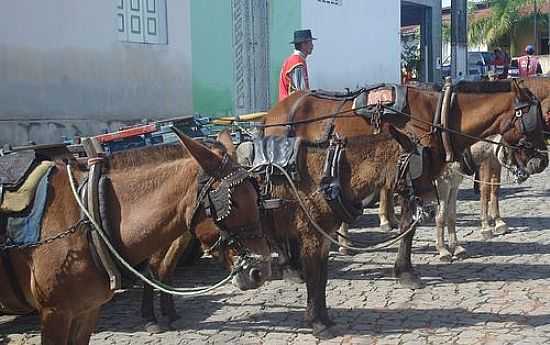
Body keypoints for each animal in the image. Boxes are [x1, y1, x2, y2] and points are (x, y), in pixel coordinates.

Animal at [0, 130, 272, 342]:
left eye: (255, 194)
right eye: (233, 203)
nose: (259, 271)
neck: (89, 214)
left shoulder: (87, 311)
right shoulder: (55, 313)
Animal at [260, 79, 548, 334]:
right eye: (535, 120)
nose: (541, 162)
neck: (438, 116)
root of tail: (275, 112)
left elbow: (431, 220)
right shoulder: (414, 180)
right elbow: (411, 226)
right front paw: (407, 271)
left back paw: (296, 264)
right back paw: (293, 266)